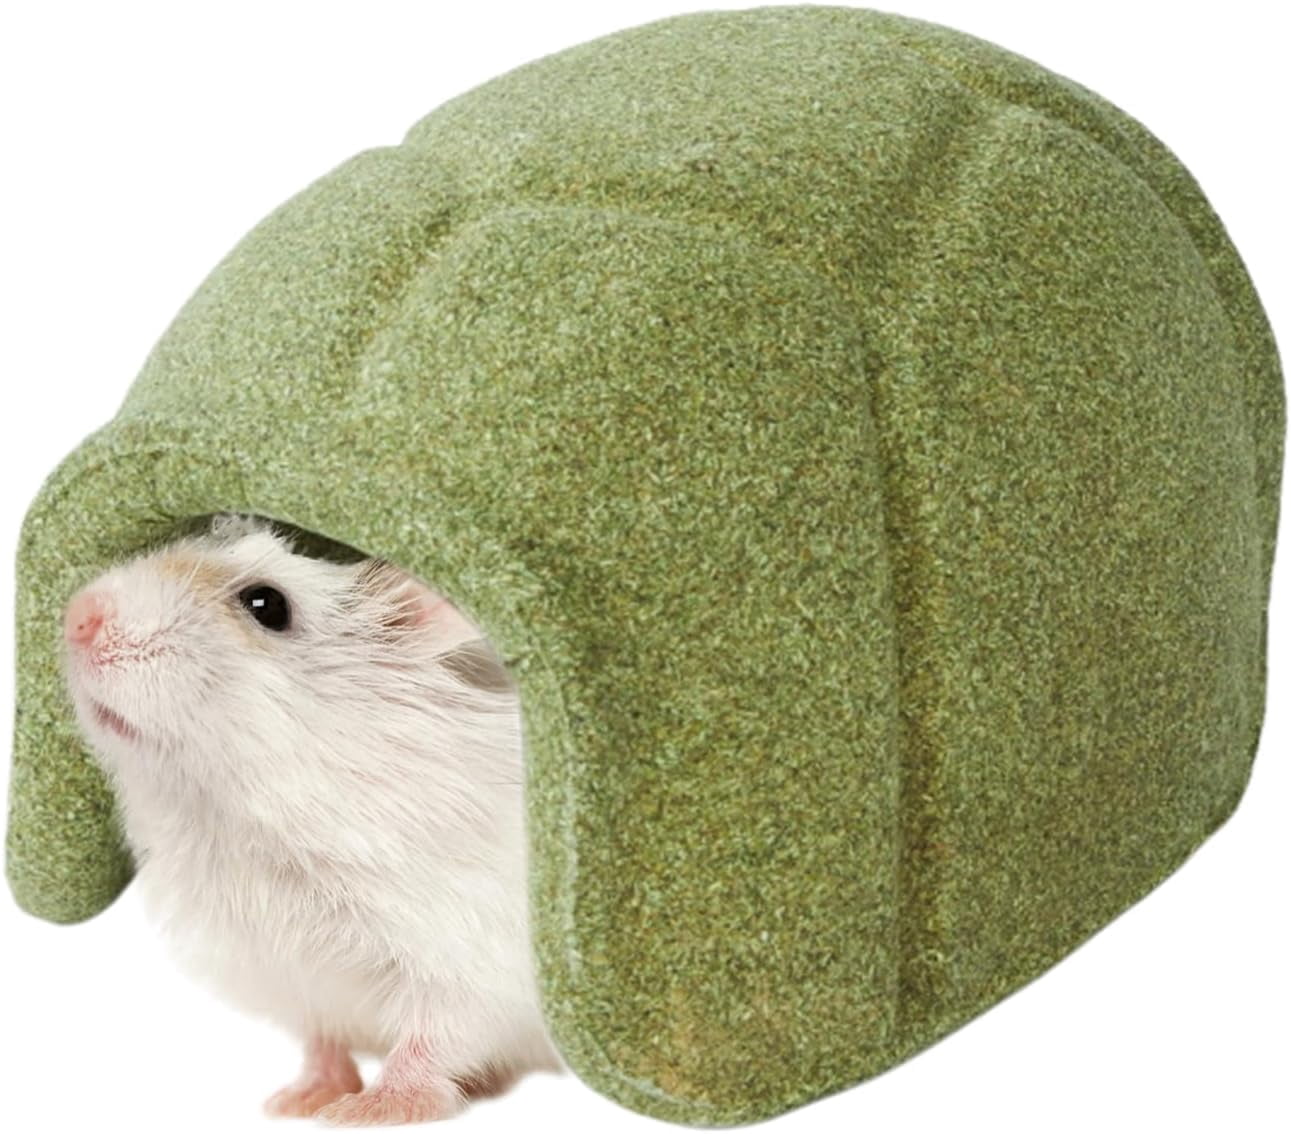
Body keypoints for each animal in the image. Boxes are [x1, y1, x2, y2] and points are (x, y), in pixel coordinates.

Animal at [60, 514, 562, 1125]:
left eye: (266, 604)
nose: (77, 614)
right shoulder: (289, 974)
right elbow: (322, 1035)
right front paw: (297, 1100)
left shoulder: (466, 958)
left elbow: (432, 1037)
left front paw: (366, 1111)